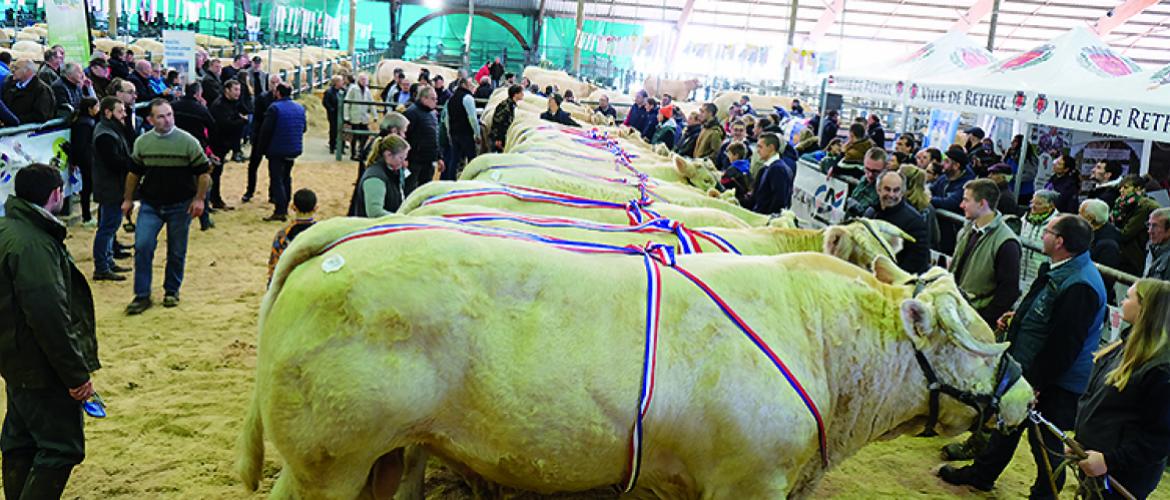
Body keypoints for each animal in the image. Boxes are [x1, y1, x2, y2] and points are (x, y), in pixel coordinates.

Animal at [237, 216, 1034, 500]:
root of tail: (343, 240)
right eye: (977, 338)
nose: (1027, 401)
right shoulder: (749, 482)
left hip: (380, 456)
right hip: (329, 461)